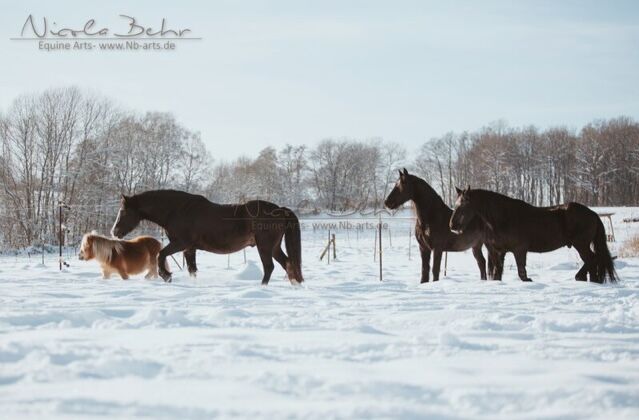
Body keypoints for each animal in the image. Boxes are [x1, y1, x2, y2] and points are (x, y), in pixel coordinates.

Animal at [110, 191, 304, 286]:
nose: (114, 232)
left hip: (265, 247)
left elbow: (161, 255)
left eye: (124, 211)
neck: (177, 210)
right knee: (287, 263)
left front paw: (167, 276)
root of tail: (280, 210)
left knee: (270, 267)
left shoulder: (180, 244)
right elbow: (192, 270)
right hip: (274, 247)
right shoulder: (189, 249)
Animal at [448, 188, 616, 284]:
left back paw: (582, 277)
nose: (452, 226)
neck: (505, 217)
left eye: (463, 204)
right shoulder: (500, 251)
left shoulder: (519, 250)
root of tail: (593, 214)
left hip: (581, 244)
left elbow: (522, 272)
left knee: (592, 259)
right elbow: (497, 274)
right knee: (592, 260)